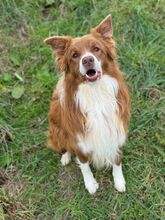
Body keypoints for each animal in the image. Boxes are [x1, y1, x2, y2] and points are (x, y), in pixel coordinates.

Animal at [44, 15, 131, 194]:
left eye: (96, 49)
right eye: (75, 55)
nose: (88, 60)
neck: (95, 93)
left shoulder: (116, 129)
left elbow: (117, 159)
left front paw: (119, 181)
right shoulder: (79, 139)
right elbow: (84, 164)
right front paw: (90, 184)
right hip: (57, 129)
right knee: (64, 146)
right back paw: (65, 157)